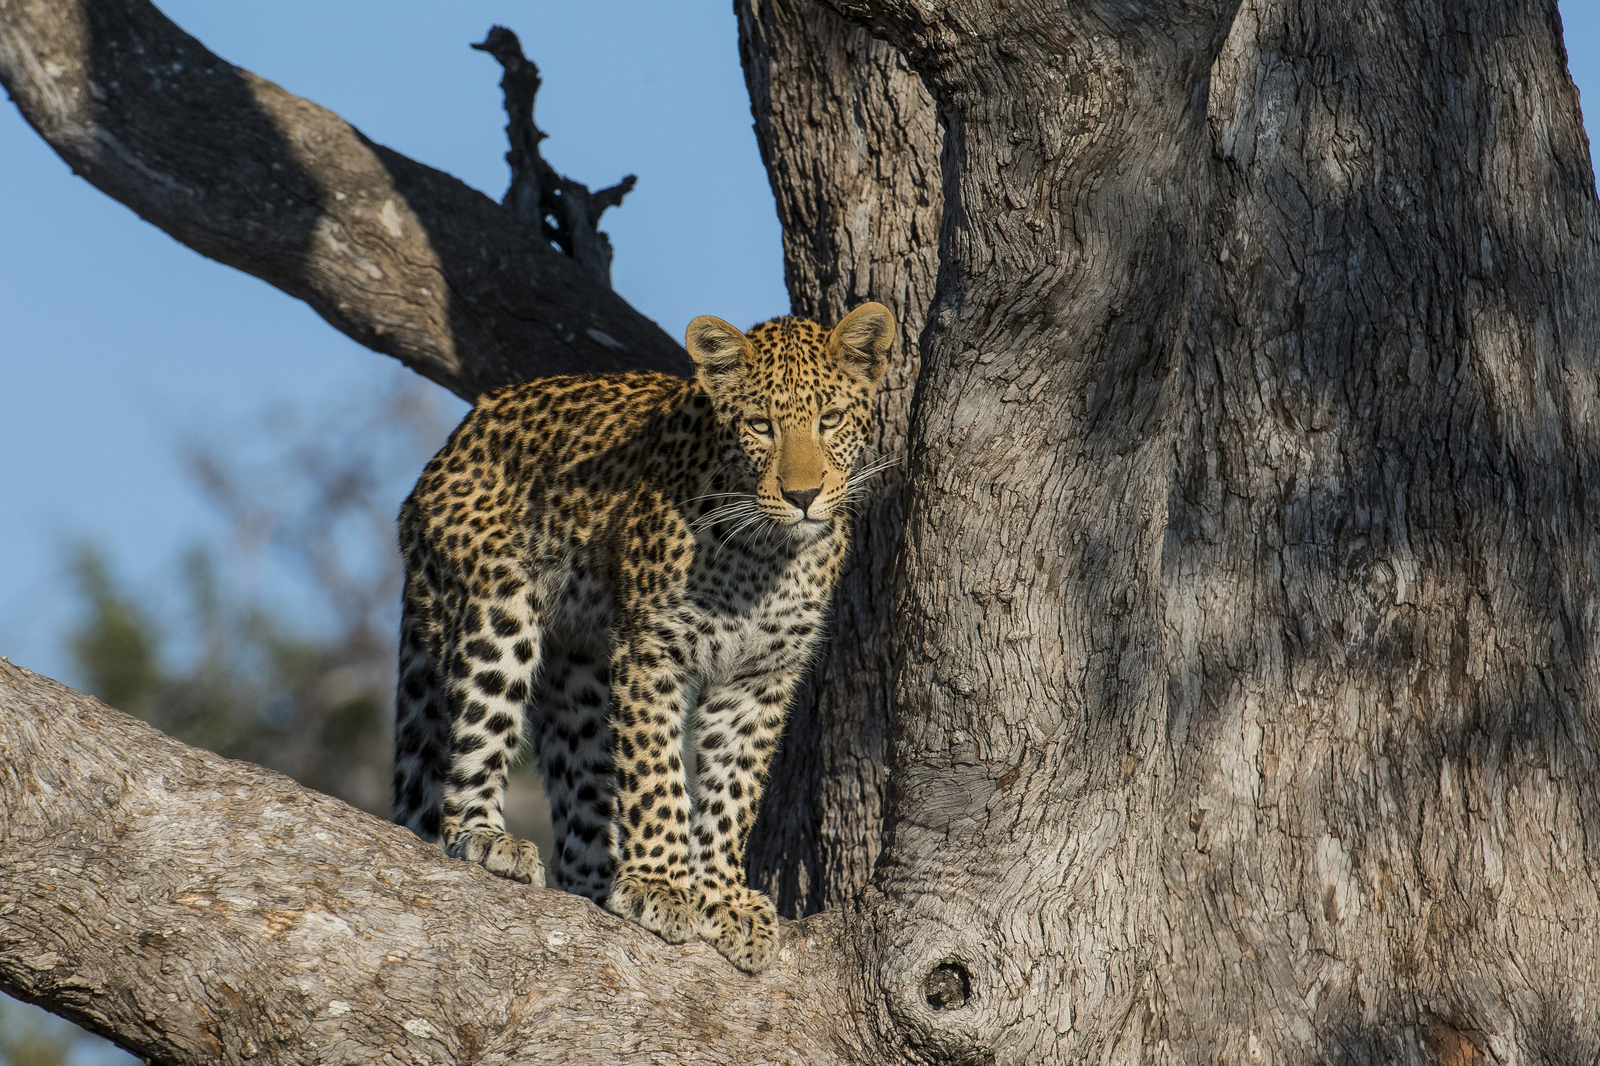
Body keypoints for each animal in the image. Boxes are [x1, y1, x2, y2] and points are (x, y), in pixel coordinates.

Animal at [390, 302, 895, 972]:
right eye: (760, 427)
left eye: (830, 419)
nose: (804, 495)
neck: (767, 555)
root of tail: (447, 450)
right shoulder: (653, 652)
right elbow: (657, 774)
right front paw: (661, 885)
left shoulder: (759, 677)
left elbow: (733, 790)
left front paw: (721, 897)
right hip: (495, 611)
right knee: (476, 737)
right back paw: (486, 838)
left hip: (579, 668)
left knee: (581, 780)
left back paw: (598, 881)